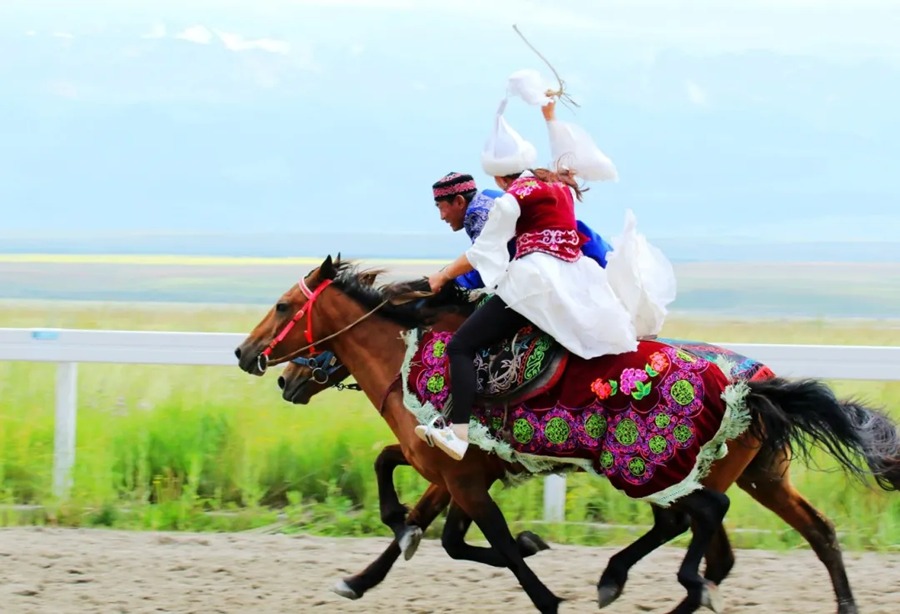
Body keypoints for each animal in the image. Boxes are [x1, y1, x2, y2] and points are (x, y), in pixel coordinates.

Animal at [235, 255, 900, 614]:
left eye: (281, 305)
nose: (250, 357)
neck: (412, 357)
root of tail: (755, 384)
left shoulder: (465, 478)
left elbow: (491, 543)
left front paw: (547, 589)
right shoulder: (452, 469)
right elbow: (415, 506)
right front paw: (362, 576)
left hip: (650, 468)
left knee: (705, 518)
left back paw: (638, 581)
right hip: (759, 475)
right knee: (802, 532)